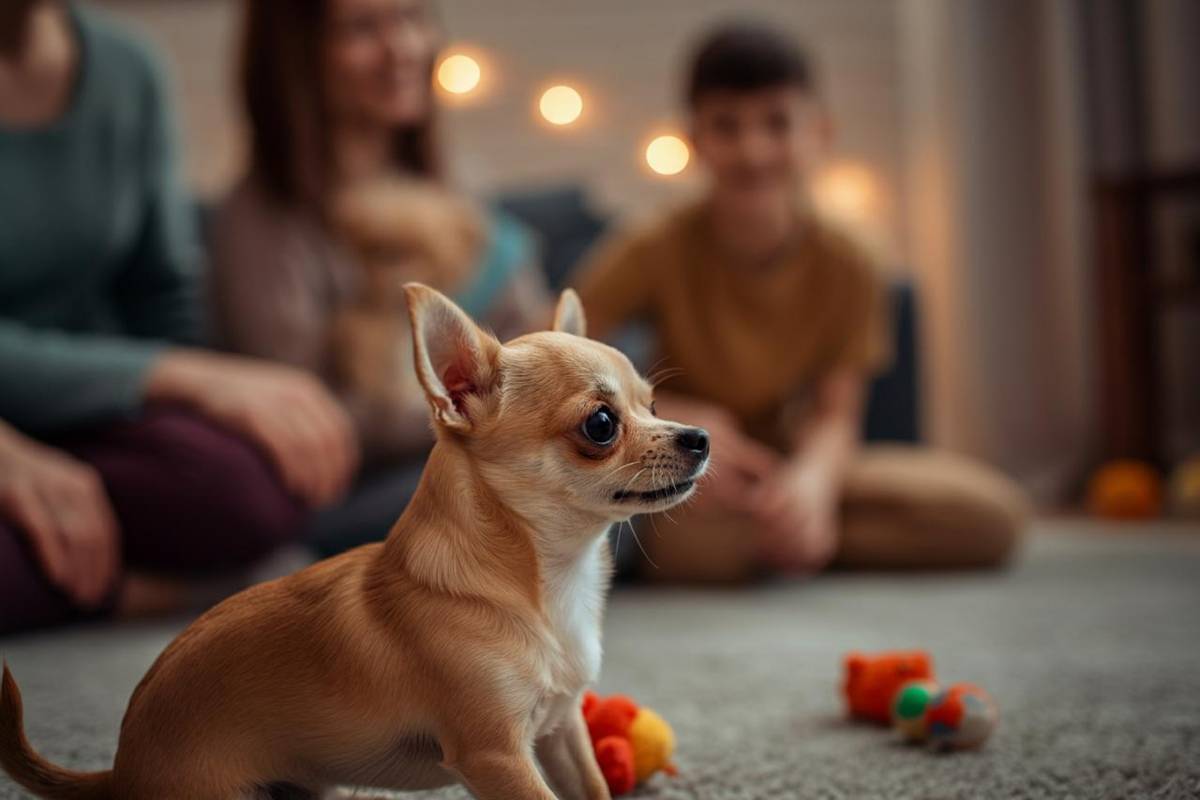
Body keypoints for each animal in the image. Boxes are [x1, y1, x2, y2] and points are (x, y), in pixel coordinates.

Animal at [0, 284, 705, 800]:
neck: (547, 582)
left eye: (653, 404)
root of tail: (122, 768)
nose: (698, 436)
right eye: (602, 424)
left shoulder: (561, 730)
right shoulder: (497, 754)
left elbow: (592, 790)